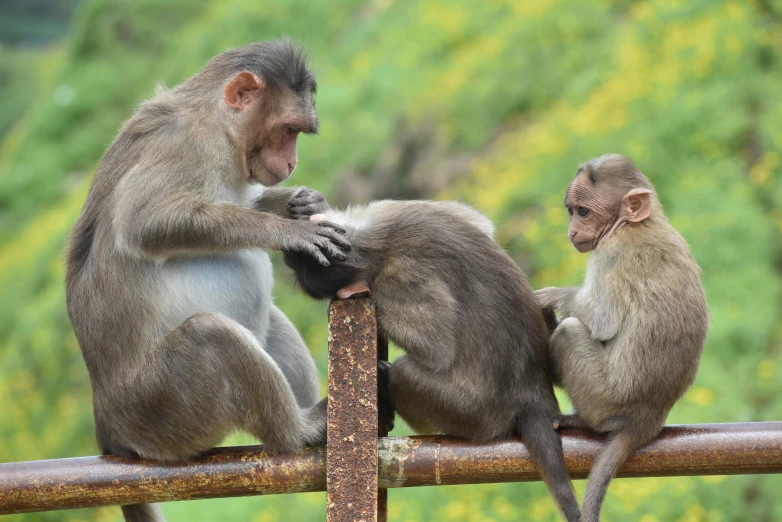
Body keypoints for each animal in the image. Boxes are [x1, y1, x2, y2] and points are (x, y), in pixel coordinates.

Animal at [66, 40, 350, 520]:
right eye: (289, 129)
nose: (291, 163)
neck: (218, 123)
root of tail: (108, 424)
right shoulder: (189, 145)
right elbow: (146, 222)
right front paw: (288, 230)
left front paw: (302, 203)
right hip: (163, 408)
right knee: (211, 334)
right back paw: (299, 429)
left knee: (268, 320)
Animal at [284, 194, 580, 520]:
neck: (376, 240)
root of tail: (535, 396)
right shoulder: (390, 209)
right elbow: (480, 224)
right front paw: (312, 205)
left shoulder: (398, 278)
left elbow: (436, 348)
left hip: (472, 413)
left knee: (404, 374)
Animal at [540, 153, 712, 520]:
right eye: (571, 210)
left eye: (584, 212)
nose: (572, 230)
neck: (632, 224)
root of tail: (650, 417)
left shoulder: (611, 254)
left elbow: (602, 321)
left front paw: (547, 297)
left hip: (605, 398)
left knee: (570, 332)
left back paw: (579, 419)